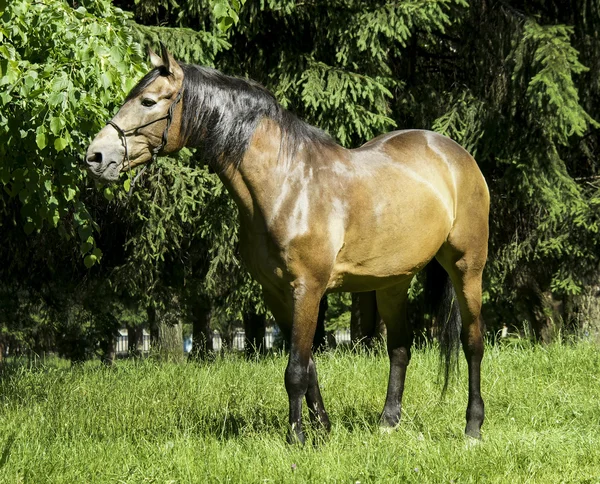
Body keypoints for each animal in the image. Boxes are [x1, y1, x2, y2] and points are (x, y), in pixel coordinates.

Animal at [85, 45, 488, 442]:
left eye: (148, 101)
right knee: (400, 348)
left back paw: (472, 426)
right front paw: (322, 428)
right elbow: (308, 367)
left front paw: (297, 437)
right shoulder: (276, 293)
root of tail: (454, 153)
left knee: (472, 343)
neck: (287, 183)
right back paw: (388, 422)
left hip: (467, 268)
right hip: (393, 282)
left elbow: (295, 369)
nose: (95, 156)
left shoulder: (307, 288)